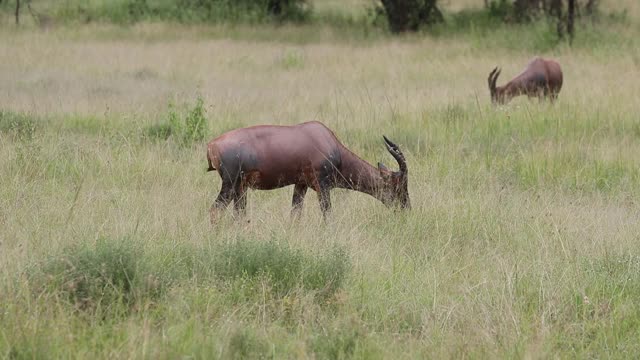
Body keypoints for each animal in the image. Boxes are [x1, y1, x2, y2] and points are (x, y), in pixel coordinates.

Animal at [208, 121, 412, 222]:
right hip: (230, 185)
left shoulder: (301, 184)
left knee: (238, 215)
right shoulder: (322, 185)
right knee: (214, 211)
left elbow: (295, 214)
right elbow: (328, 214)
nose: (407, 210)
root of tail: (212, 145)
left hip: (240, 189)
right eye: (399, 185)